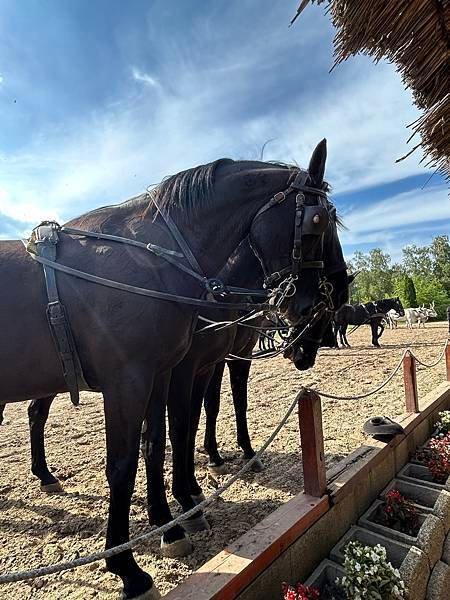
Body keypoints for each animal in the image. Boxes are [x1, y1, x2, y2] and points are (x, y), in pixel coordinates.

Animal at [0, 139, 342, 596]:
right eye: (318, 222)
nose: (319, 302)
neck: (152, 265)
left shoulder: (166, 372)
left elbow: (162, 440)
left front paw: (170, 520)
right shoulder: (134, 380)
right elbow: (128, 462)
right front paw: (127, 565)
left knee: (38, 415)